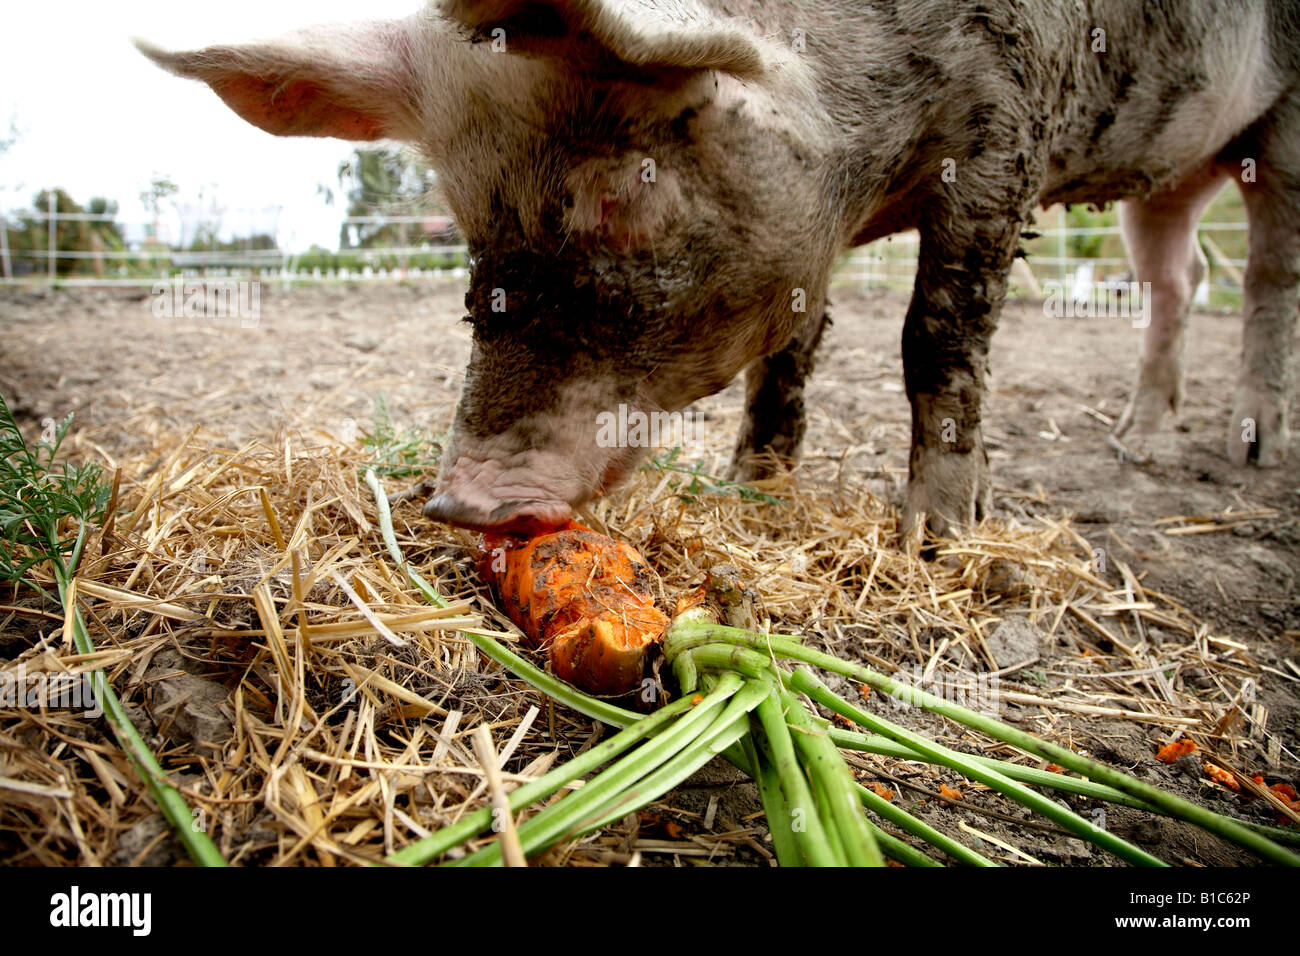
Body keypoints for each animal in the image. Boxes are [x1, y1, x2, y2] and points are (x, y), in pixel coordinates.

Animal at [137, 0, 1294, 535]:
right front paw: (753, 489)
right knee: (1178, 277)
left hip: (1282, 127)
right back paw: (1139, 439)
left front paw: (933, 535)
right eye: (466, 220)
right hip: (1165, 180)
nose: (462, 501)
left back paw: (1250, 449)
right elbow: (785, 355)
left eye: (625, 190)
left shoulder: (1004, 131)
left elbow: (936, 336)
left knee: (1265, 278)